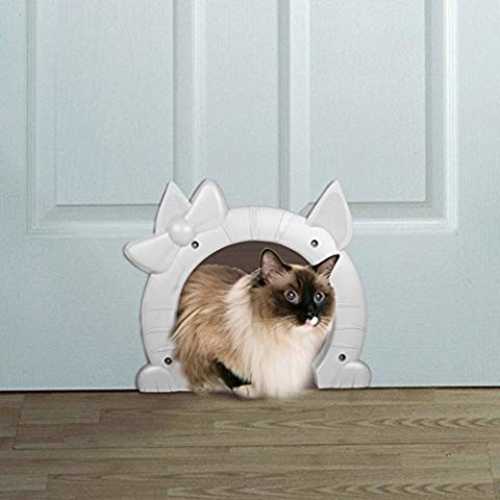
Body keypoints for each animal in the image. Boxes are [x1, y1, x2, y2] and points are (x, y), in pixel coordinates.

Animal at [172, 248, 340, 399]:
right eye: (291, 296)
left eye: (318, 297)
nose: (311, 315)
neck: (279, 333)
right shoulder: (202, 340)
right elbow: (223, 366)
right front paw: (246, 388)